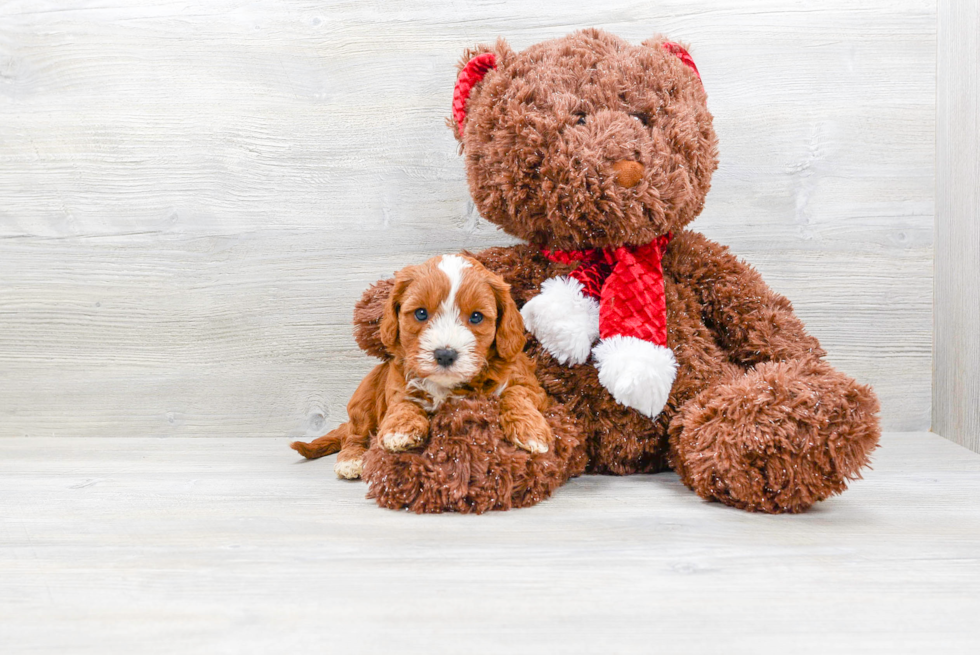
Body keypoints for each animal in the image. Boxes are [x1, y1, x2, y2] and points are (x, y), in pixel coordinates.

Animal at [290, 254, 552, 480]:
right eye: (421, 313)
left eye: (476, 317)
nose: (445, 354)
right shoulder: (398, 383)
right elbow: (403, 403)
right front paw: (400, 430)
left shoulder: (528, 382)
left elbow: (517, 394)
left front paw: (530, 430)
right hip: (363, 400)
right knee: (354, 434)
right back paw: (350, 460)